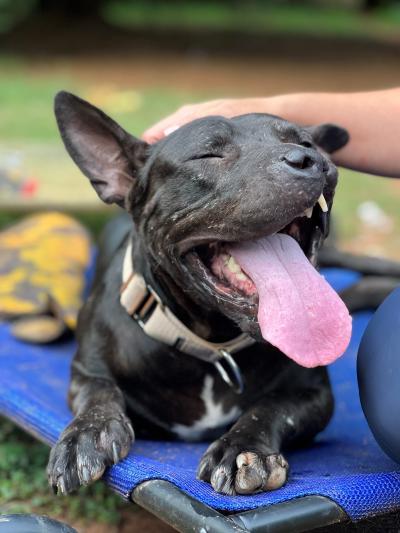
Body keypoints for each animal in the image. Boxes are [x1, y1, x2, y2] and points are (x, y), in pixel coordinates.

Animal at [47, 91, 354, 494]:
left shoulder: (314, 393)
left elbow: (271, 407)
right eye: (208, 154)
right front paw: (86, 433)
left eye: (306, 143)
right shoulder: (85, 370)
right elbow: (98, 392)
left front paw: (244, 447)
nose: (310, 159)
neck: (212, 345)